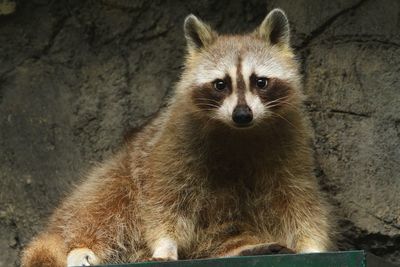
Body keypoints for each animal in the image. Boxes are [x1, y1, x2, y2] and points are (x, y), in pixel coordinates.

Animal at [21, 8, 334, 267]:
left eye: (260, 82)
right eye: (220, 84)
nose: (242, 115)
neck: (237, 133)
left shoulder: (289, 141)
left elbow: (298, 196)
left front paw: (312, 245)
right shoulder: (173, 141)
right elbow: (164, 196)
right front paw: (165, 244)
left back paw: (249, 248)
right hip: (114, 177)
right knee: (105, 203)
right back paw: (80, 246)